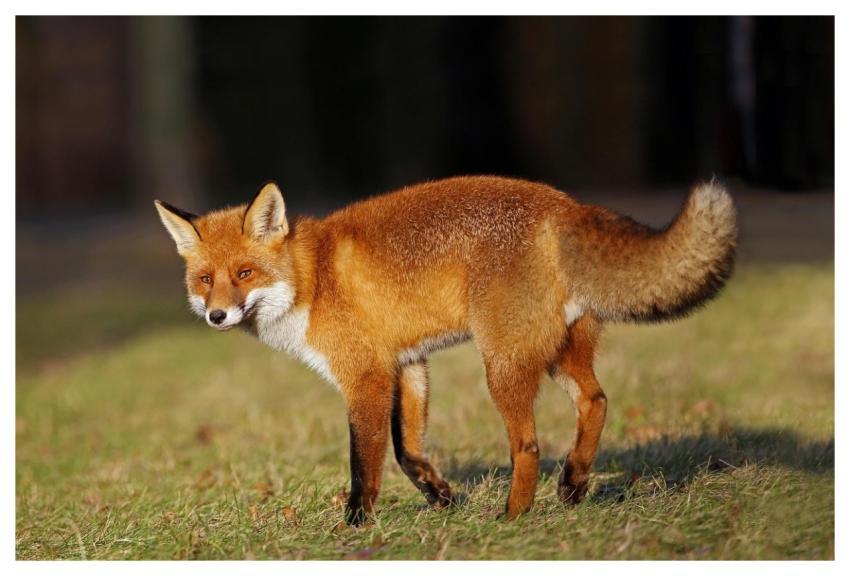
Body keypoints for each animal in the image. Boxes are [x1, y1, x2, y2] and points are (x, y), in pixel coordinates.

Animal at [155, 175, 736, 525]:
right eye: (205, 280)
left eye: (244, 274)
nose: (216, 316)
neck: (312, 280)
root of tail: (563, 204)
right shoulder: (407, 365)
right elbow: (408, 452)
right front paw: (443, 498)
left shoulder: (365, 376)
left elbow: (364, 463)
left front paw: (356, 527)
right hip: (556, 353)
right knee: (596, 402)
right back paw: (572, 485)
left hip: (502, 365)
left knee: (528, 446)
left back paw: (513, 518)